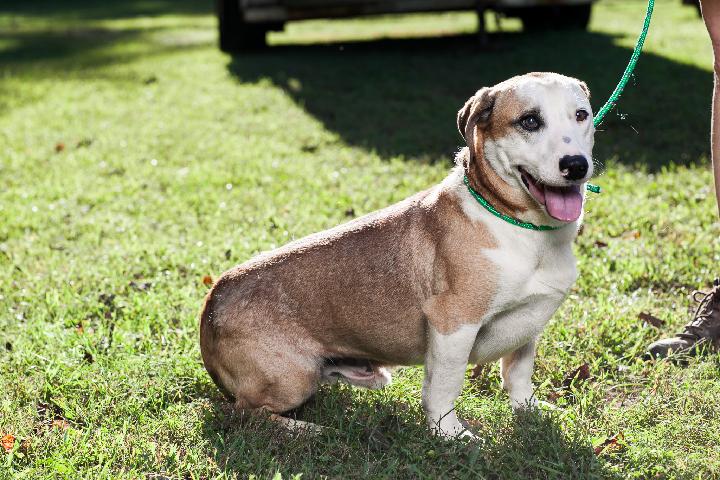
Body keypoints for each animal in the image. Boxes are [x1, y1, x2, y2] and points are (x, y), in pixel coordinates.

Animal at [200, 72, 592, 438]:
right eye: (529, 120)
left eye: (581, 115)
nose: (576, 165)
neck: (525, 230)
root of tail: (210, 306)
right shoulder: (453, 323)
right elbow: (445, 386)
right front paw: (449, 433)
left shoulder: (529, 324)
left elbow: (519, 373)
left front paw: (529, 410)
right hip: (293, 378)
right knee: (245, 414)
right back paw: (307, 430)